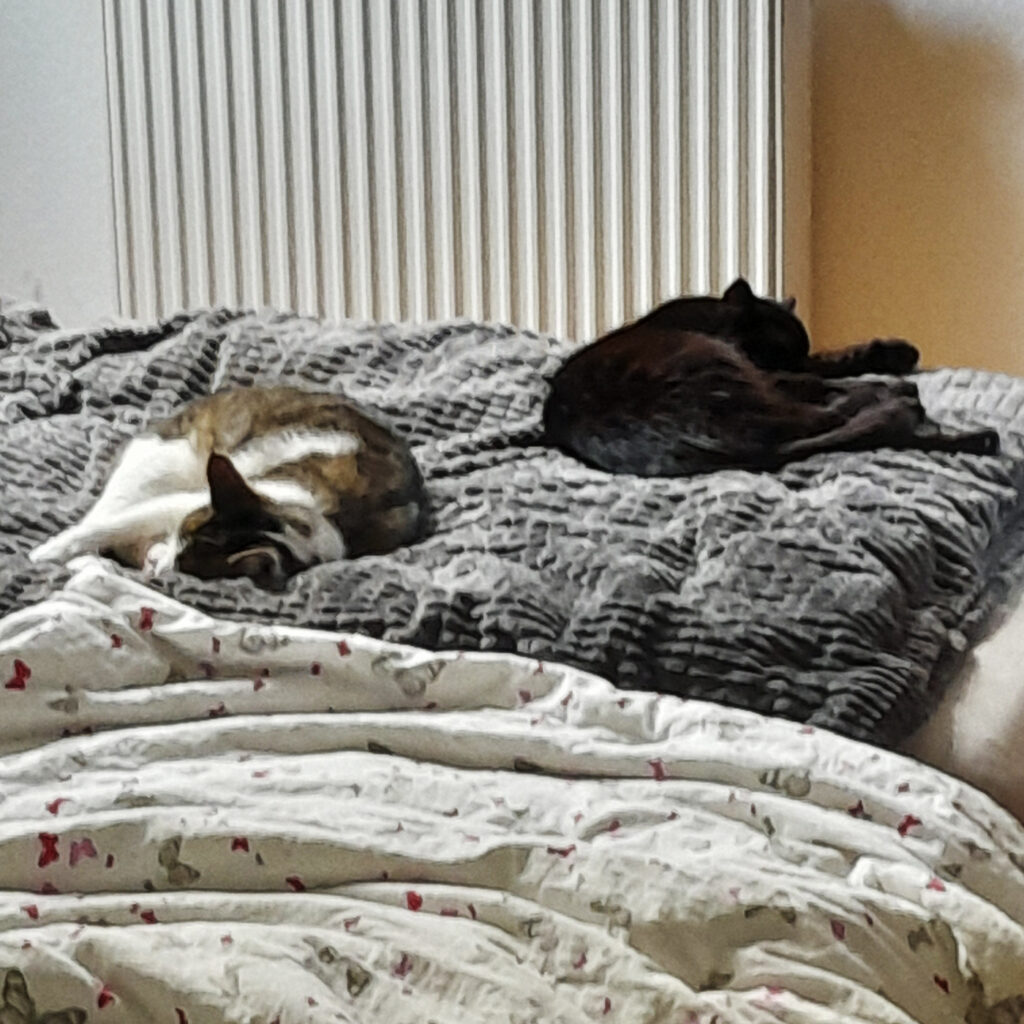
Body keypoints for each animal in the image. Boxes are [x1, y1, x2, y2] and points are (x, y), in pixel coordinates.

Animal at [29, 386, 429, 590]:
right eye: (182, 535)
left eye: (185, 567)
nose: (161, 564)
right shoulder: (184, 502)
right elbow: (104, 528)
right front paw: (43, 556)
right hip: (158, 464)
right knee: (103, 516)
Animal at [542, 278, 1000, 476]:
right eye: (779, 353)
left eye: (797, 353)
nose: (794, 369)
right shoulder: (775, 372)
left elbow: (832, 357)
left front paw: (895, 353)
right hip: (727, 371)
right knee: (837, 415)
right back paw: (905, 397)